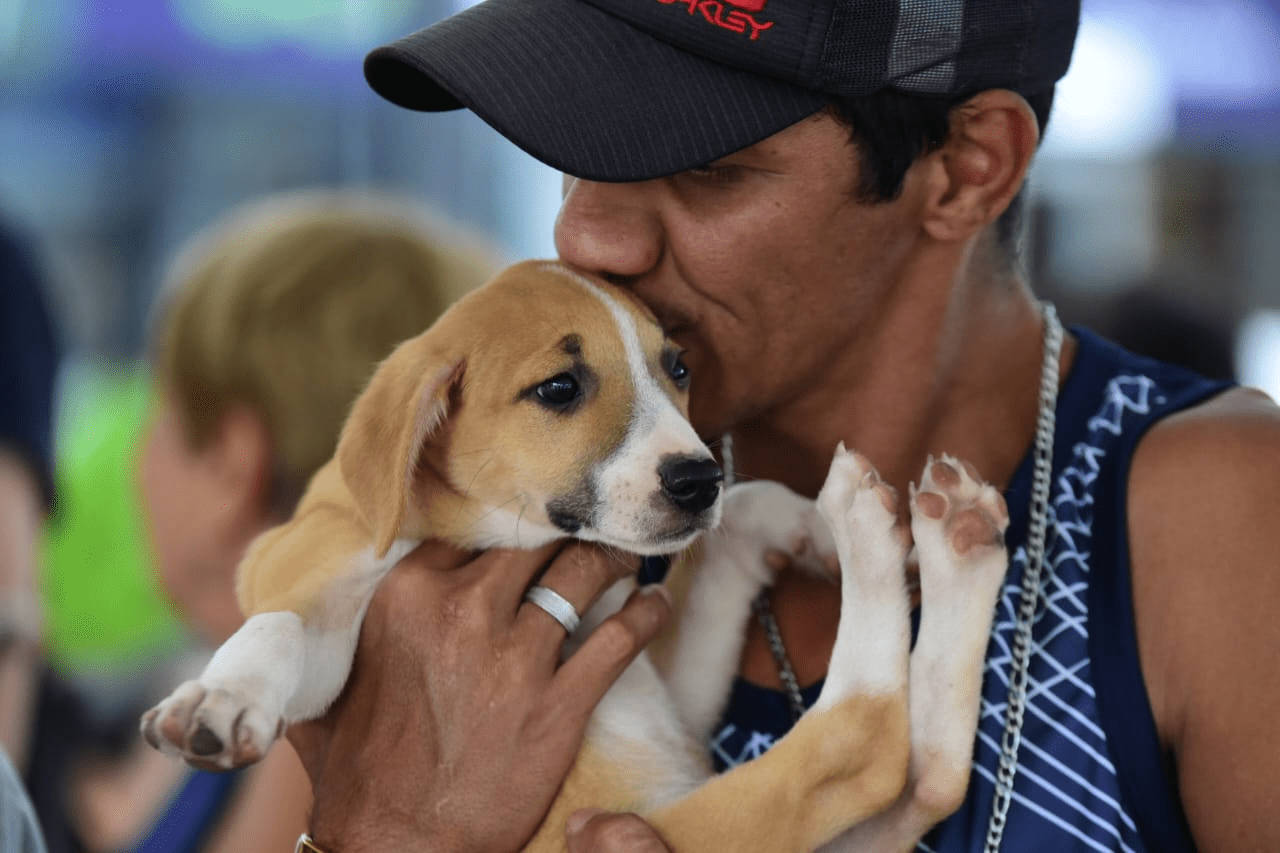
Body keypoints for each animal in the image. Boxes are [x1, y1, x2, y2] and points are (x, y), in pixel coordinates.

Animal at [142, 258, 1008, 850]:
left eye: (678, 367)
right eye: (559, 388)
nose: (698, 479)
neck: (512, 536)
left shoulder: (671, 694)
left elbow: (739, 523)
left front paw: (798, 524)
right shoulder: (312, 582)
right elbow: (280, 626)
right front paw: (220, 701)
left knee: (920, 769)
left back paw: (942, 534)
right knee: (872, 743)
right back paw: (875, 524)